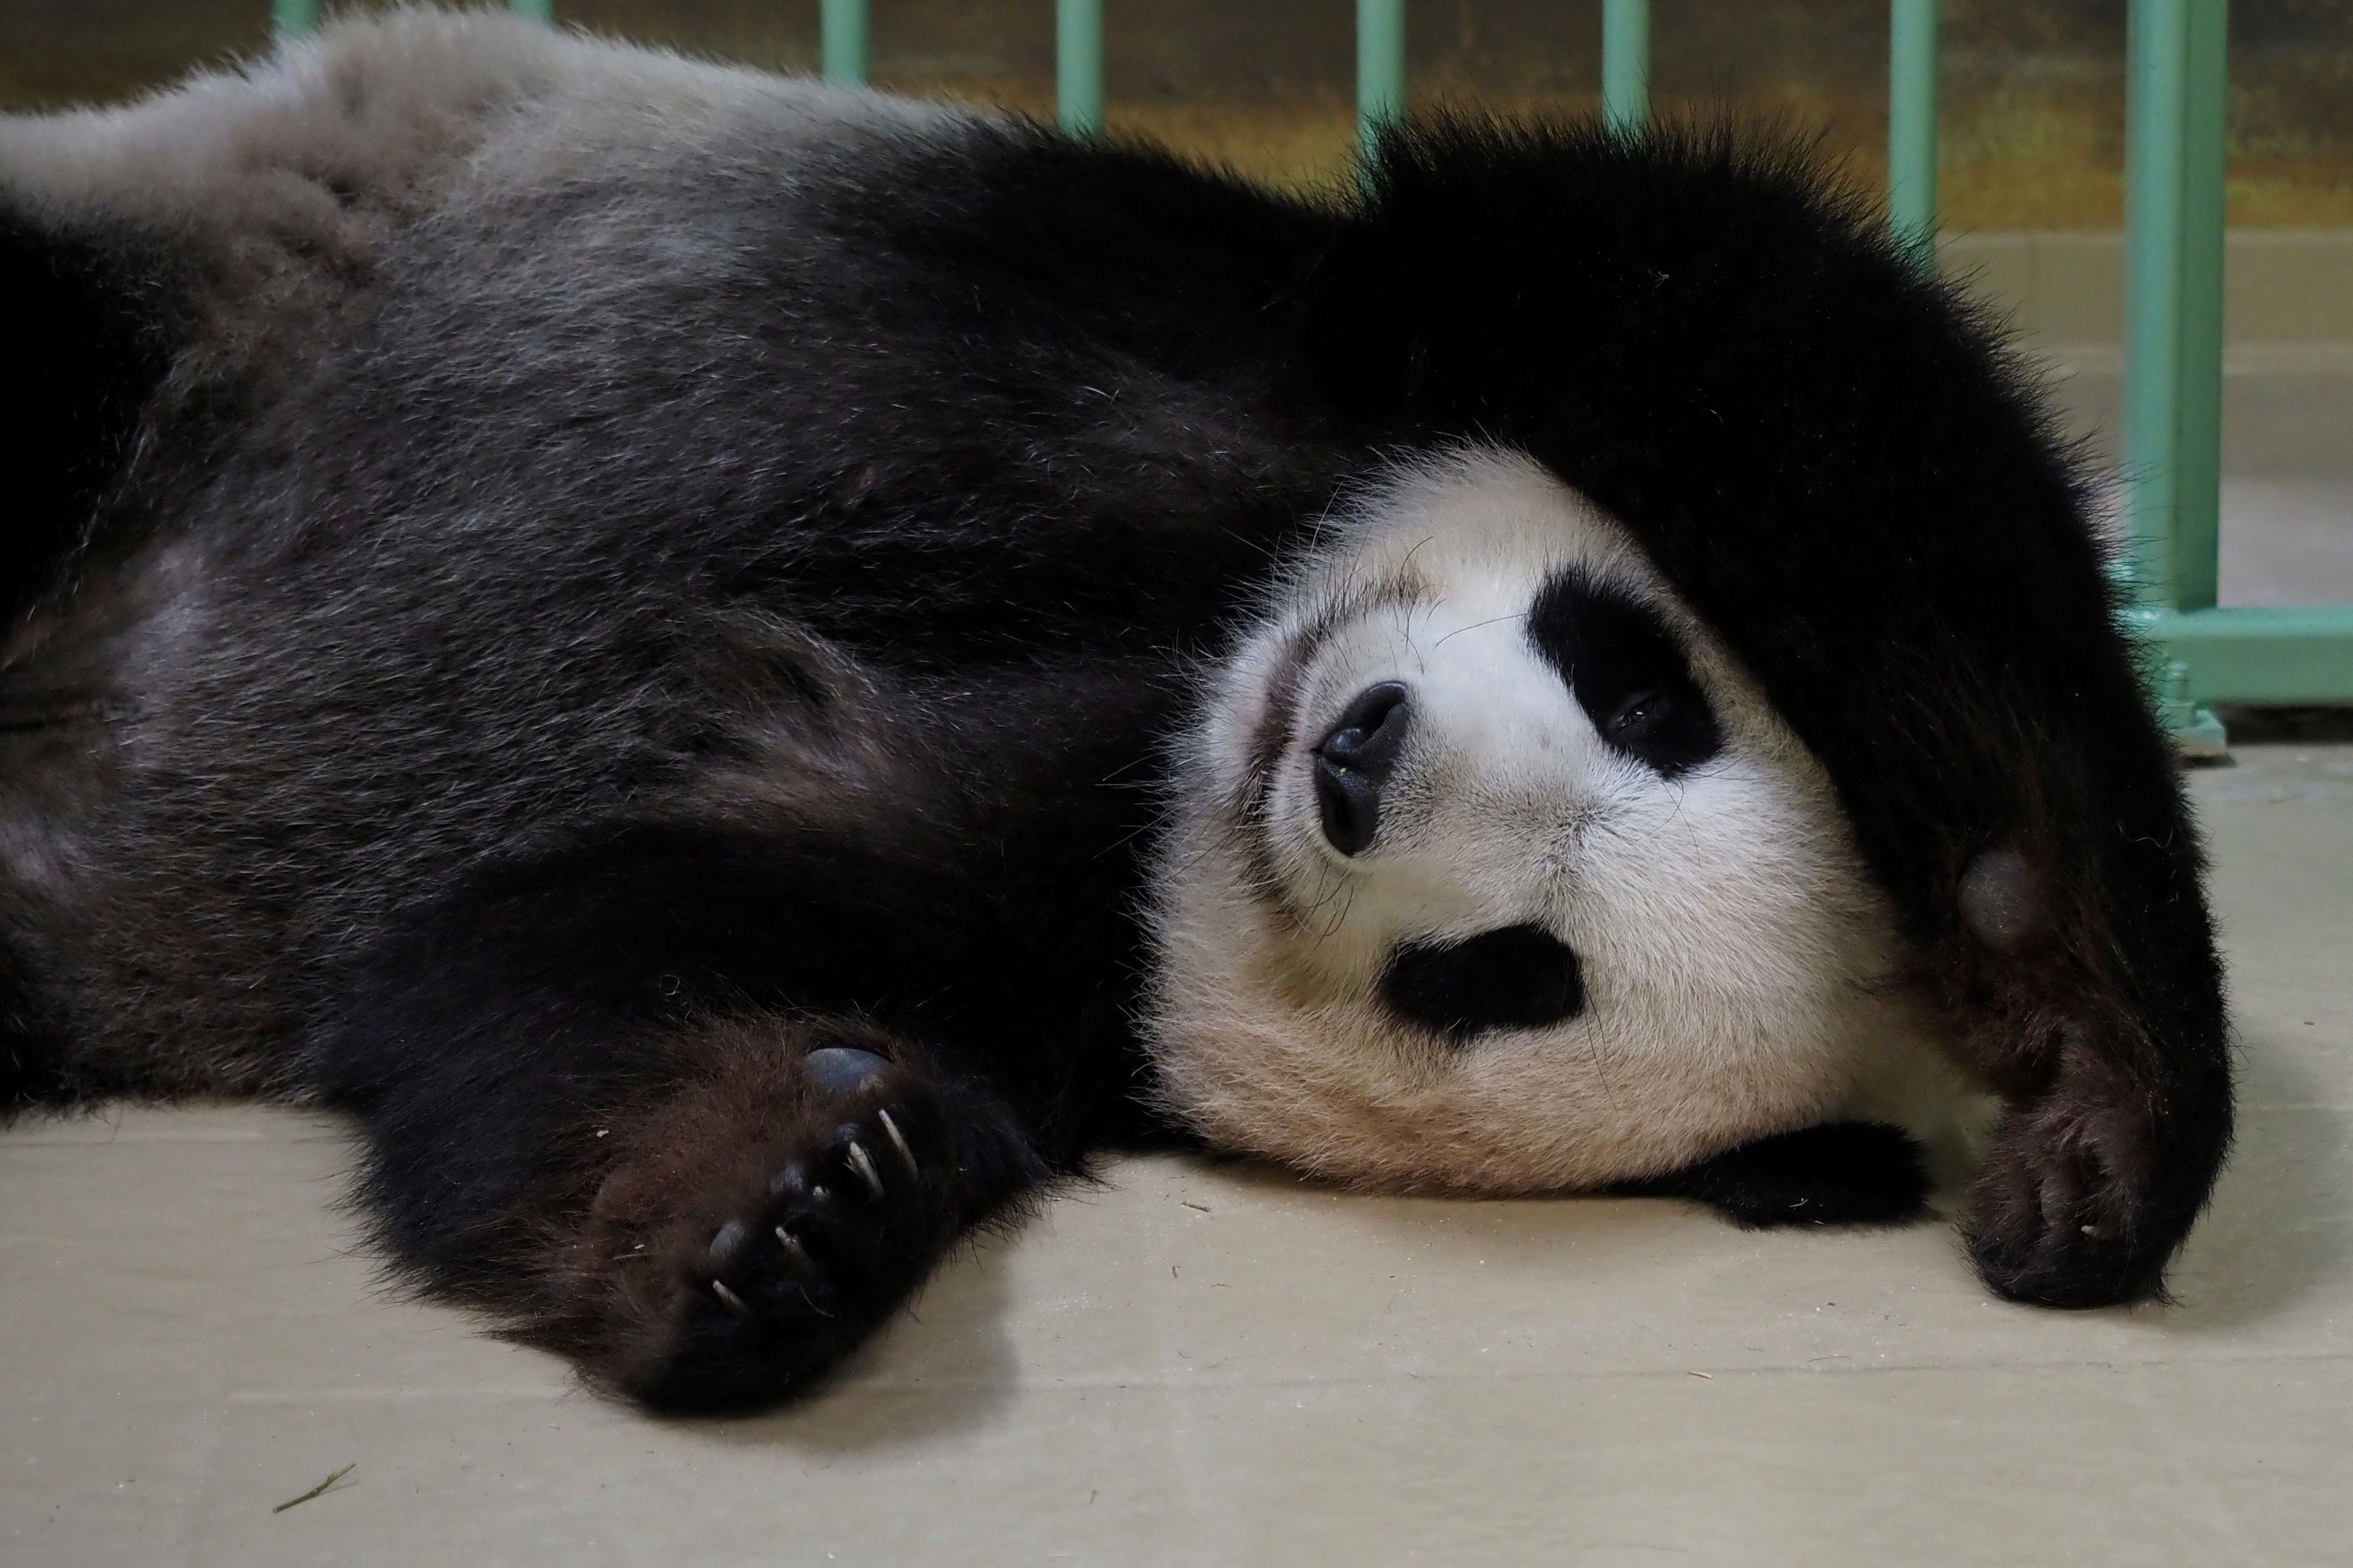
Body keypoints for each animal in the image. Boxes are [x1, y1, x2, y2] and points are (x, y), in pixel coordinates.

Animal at [4, 12, 2221, 1412]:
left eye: (1510, 976)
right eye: (1640, 687)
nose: (1353, 757)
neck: (1192, 675)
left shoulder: (1059, 902)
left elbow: (587, 949)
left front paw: (781, 1204)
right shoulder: (1309, 339)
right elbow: (1748, 332)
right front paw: (2097, 1090)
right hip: (197, 270)